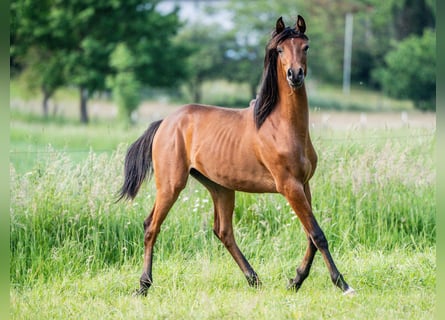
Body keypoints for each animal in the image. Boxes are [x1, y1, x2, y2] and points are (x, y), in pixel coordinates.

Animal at [117, 14, 354, 296]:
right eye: (280, 50)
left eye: (305, 47)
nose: (294, 75)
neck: (282, 126)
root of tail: (166, 122)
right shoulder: (289, 186)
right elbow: (317, 234)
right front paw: (342, 284)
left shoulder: (304, 185)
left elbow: (310, 235)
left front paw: (296, 280)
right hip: (171, 185)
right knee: (151, 226)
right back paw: (144, 285)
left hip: (220, 188)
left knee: (223, 231)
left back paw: (254, 279)